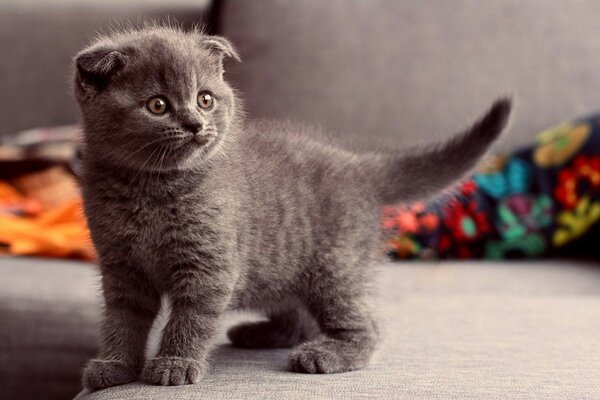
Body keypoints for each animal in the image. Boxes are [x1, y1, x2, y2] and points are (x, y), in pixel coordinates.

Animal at [71, 25, 510, 390]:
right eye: (158, 105)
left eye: (205, 99)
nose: (196, 124)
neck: (150, 189)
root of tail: (358, 165)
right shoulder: (121, 267)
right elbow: (123, 320)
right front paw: (115, 366)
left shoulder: (208, 267)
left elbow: (190, 318)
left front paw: (175, 363)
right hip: (282, 266)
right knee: (298, 316)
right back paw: (260, 334)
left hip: (334, 267)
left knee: (366, 326)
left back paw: (327, 354)